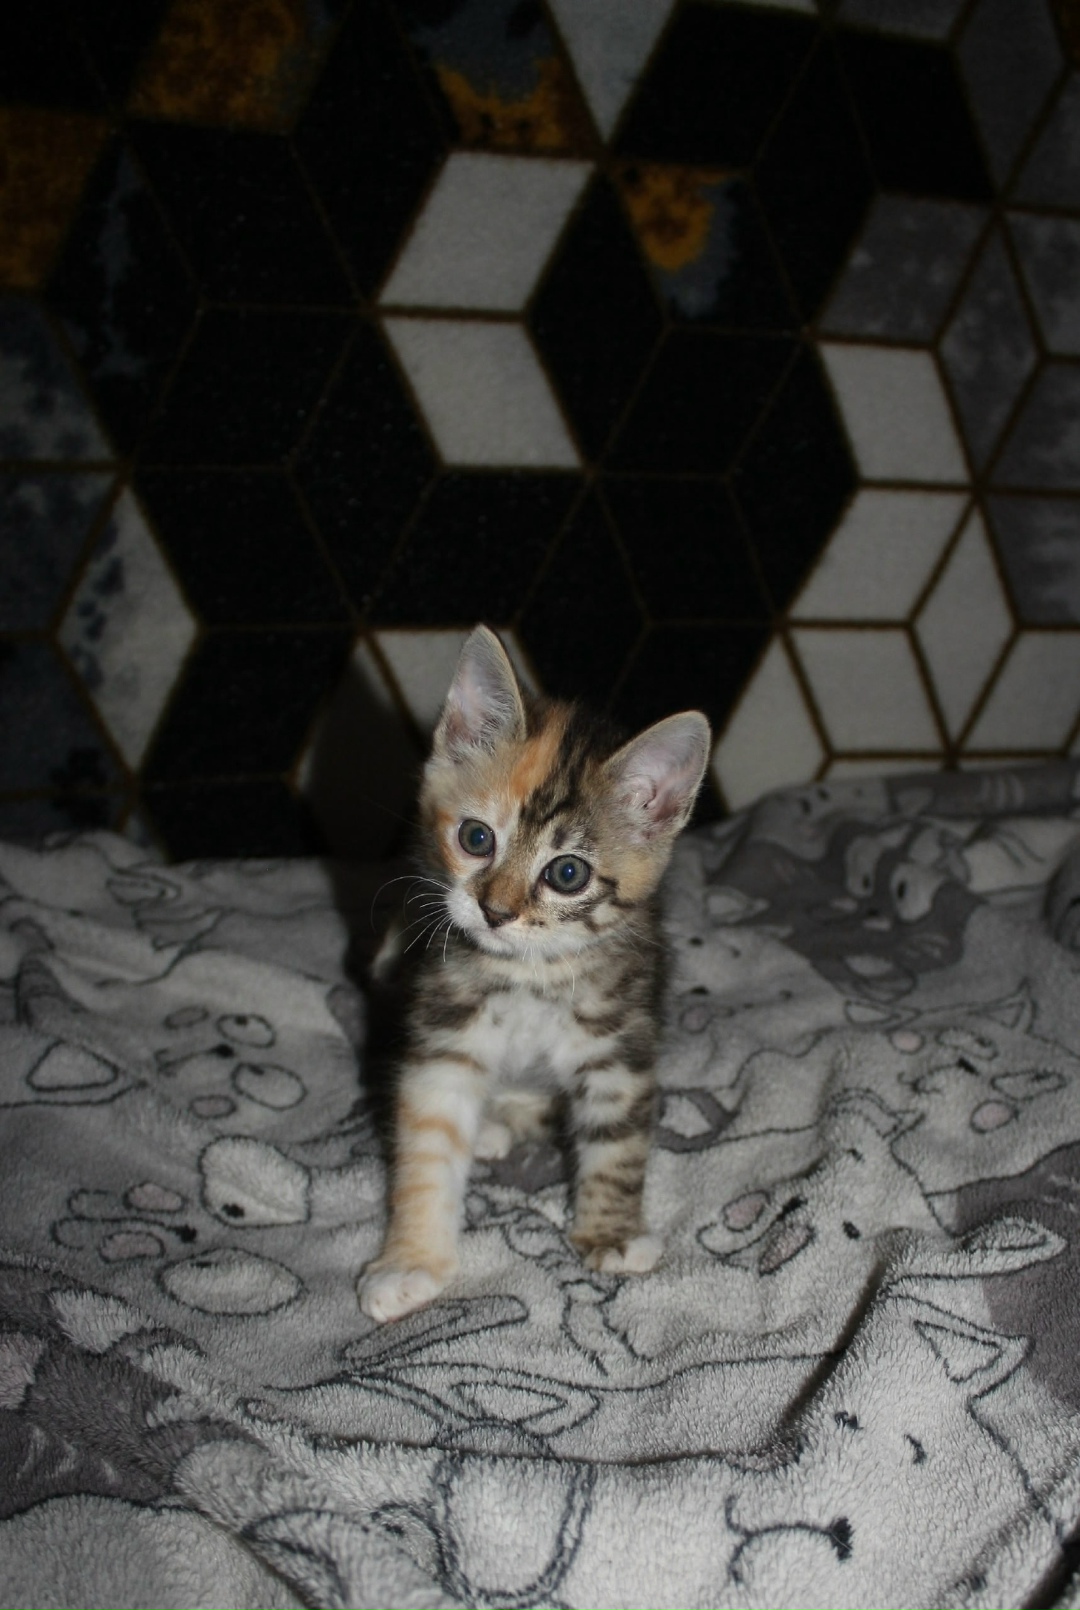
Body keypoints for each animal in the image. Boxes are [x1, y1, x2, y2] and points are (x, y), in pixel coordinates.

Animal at [358, 626, 711, 1323]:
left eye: (567, 873)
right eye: (475, 838)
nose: (495, 912)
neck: (530, 977)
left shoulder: (619, 1042)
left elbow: (618, 1144)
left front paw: (611, 1234)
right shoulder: (443, 1035)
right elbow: (426, 1147)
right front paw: (411, 1260)